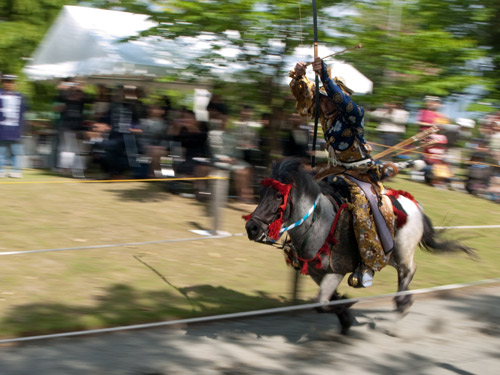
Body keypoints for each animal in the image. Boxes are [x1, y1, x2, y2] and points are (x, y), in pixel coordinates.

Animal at [244, 159, 474, 334]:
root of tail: (415, 204)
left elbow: (321, 303)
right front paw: (346, 316)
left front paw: (347, 308)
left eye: (278, 196)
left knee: (408, 270)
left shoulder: (336, 270)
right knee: (404, 272)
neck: (320, 223)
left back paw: (400, 307)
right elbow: (325, 301)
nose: (251, 228)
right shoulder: (317, 272)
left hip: (403, 250)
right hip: (390, 254)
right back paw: (403, 304)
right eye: (262, 192)